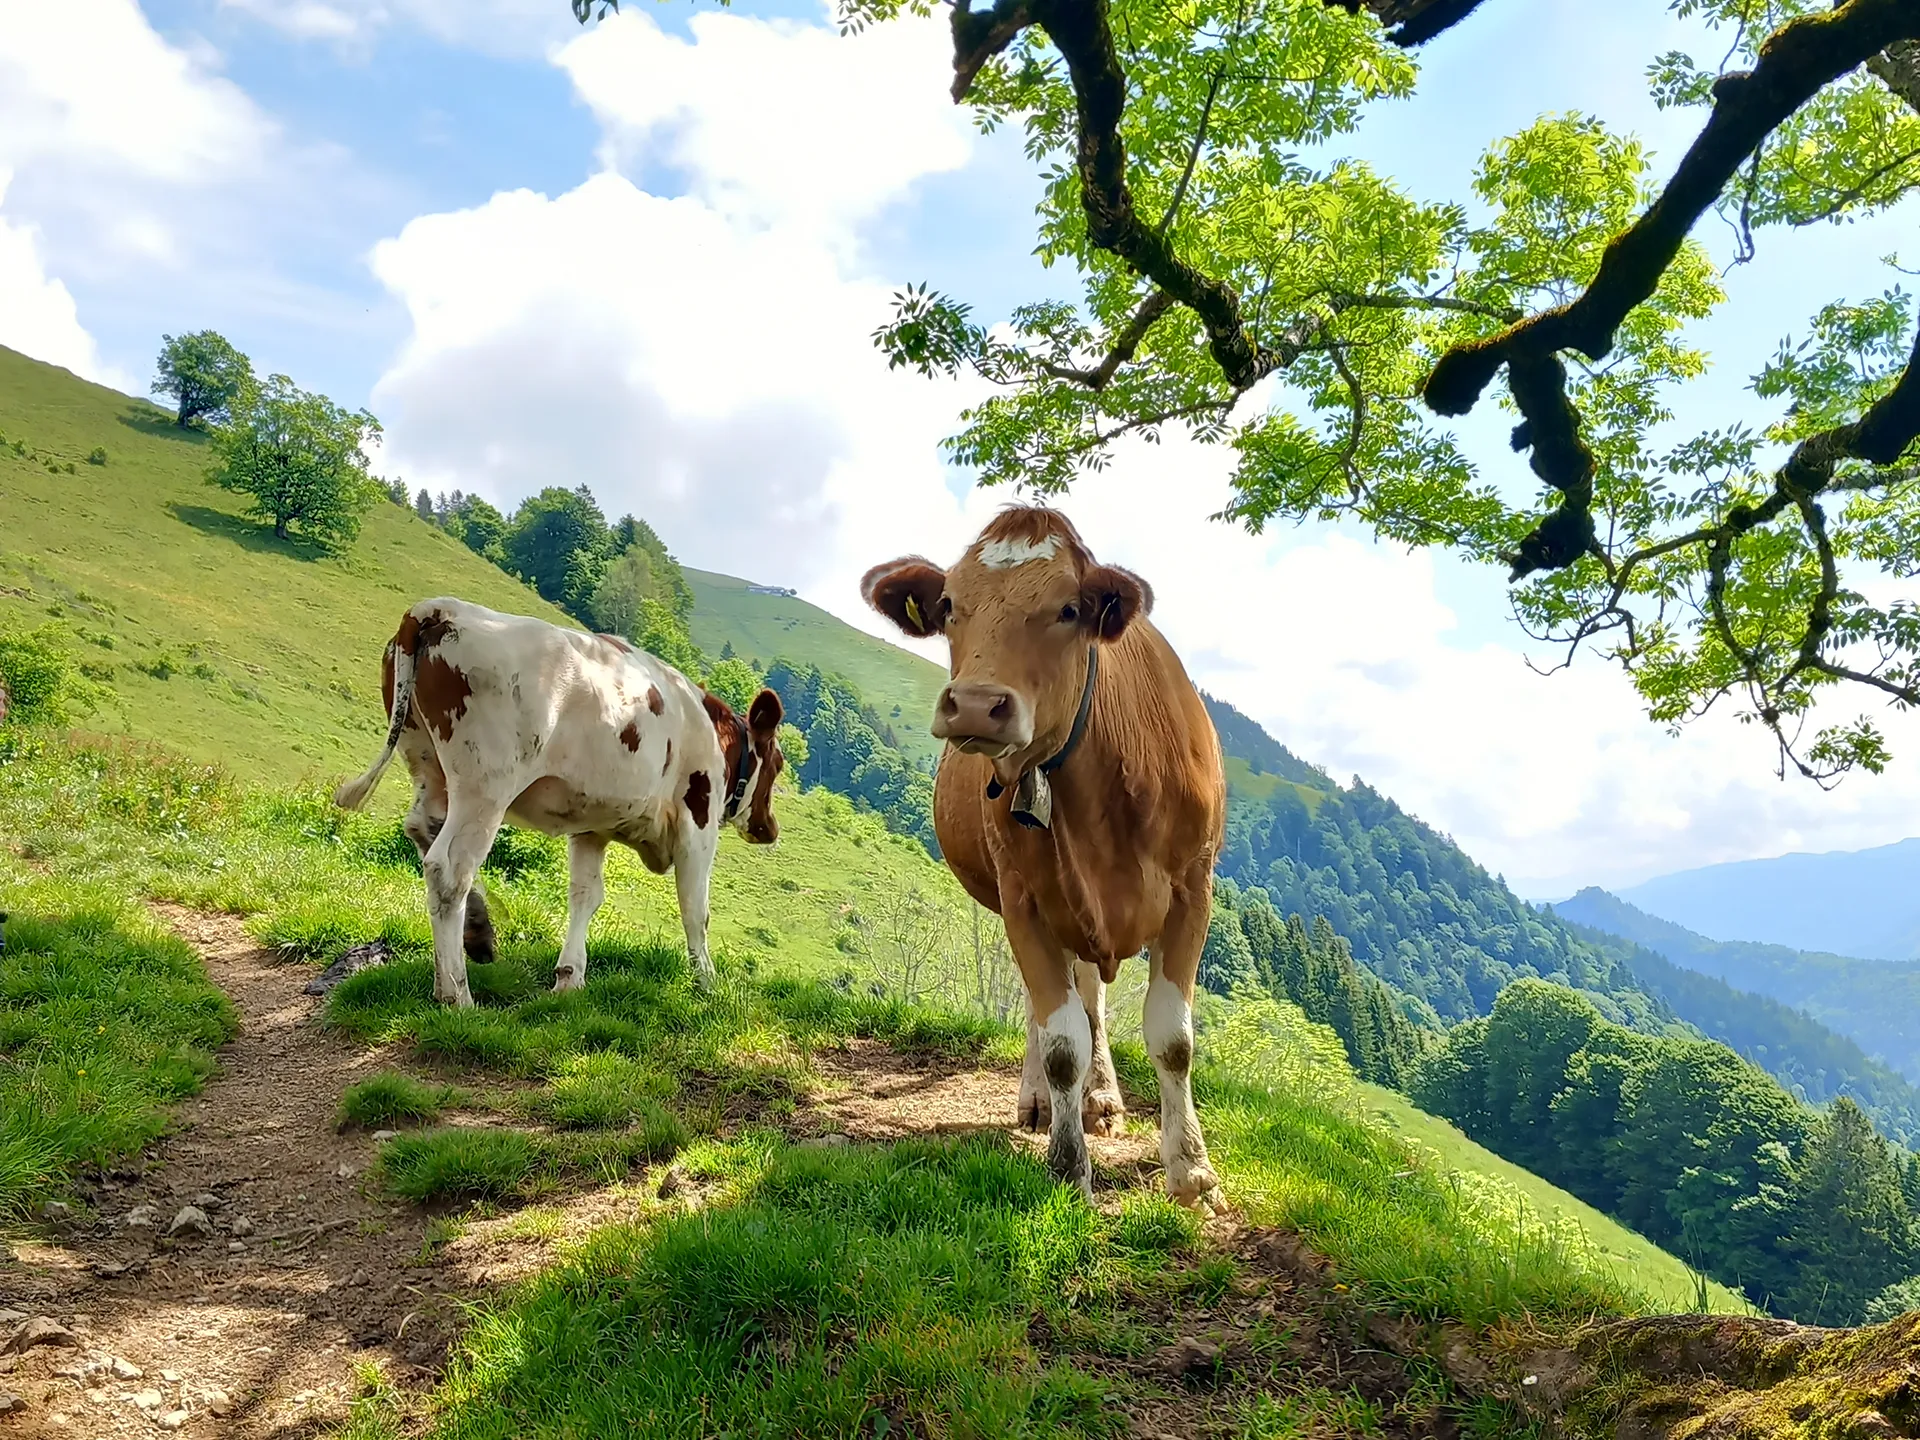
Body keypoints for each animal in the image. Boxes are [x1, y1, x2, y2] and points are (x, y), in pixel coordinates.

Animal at [334, 591, 783, 1006]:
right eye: (778, 764)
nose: (770, 829)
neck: (711, 730)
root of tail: (437, 608)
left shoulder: (592, 826)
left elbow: (585, 895)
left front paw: (569, 977)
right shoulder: (697, 821)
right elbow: (695, 908)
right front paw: (707, 982)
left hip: (428, 765)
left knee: (422, 829)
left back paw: (478, 932)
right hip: (486, 784)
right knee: (449, 869)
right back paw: (457, 995)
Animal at [860, 514, 1221, 1213]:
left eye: (1069, 609)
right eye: (950, 606)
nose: (976, 704)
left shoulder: (1194, 889)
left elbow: (1172, 1037)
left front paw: (1190, 1169)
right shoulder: (1023, 898)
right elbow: (1060, 1042)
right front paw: (1066, 1165)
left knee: (1092, 996)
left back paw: (1101, 1097)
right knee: (1050, 1006)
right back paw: (1042, 1102)